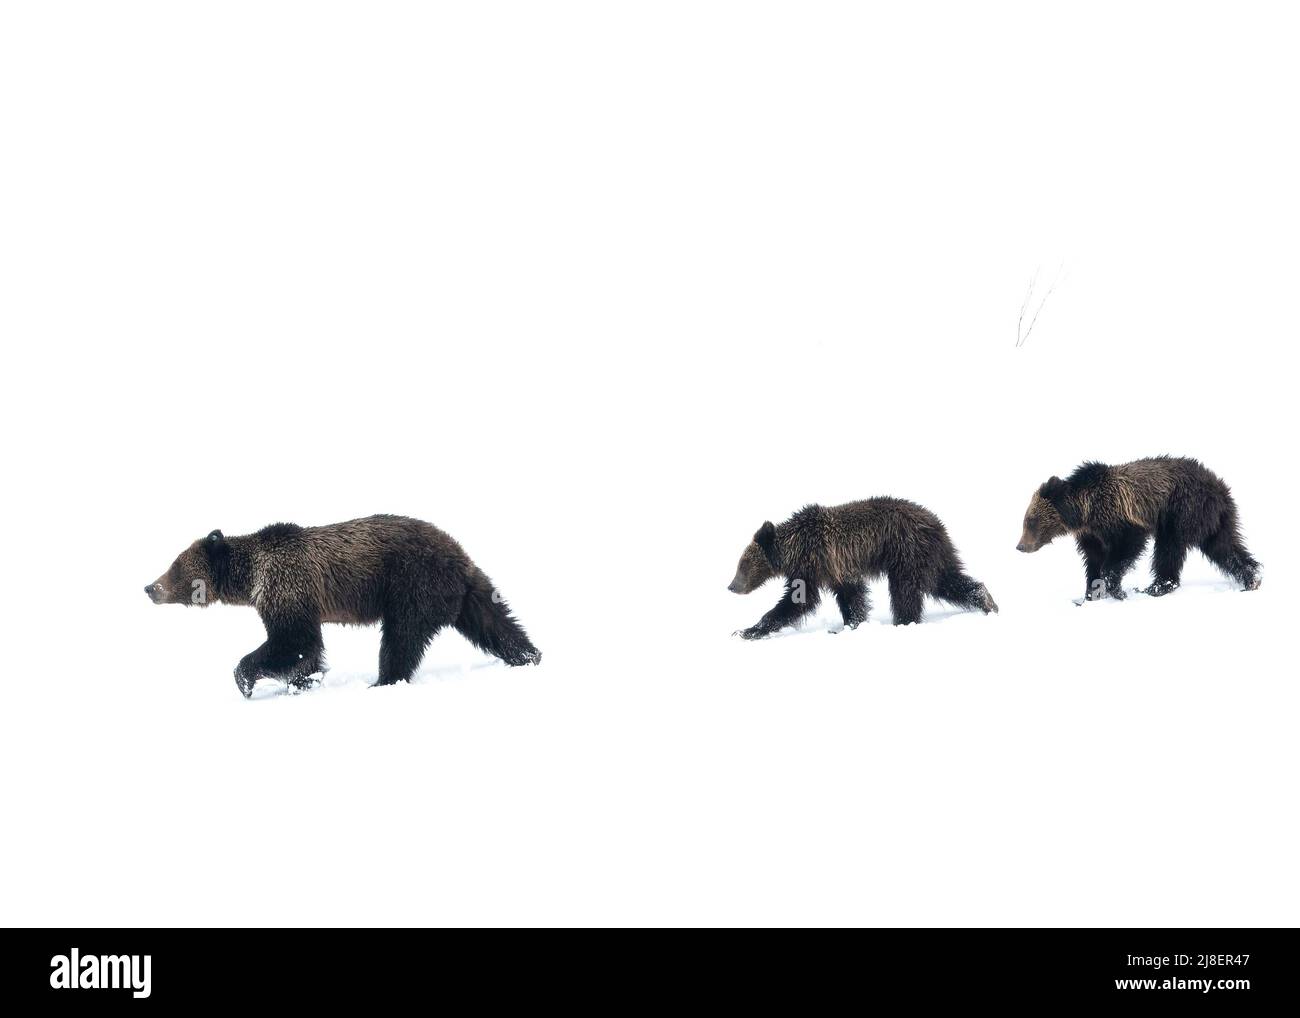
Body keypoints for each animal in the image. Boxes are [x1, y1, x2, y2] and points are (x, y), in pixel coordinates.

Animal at [144, 514, 540, 696]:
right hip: (465, 595)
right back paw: (529, 655)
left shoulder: (288, 587)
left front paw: (246, 679)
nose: (150, 587)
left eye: (176, 567)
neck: (252, 576)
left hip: (410, 584)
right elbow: (305, 651)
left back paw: (383, 681)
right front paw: (304, 680)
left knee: (401, 638)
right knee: (496, 623)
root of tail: (460, 557)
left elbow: (294, 642)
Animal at [733, 499, 993, 642]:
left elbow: (798, 601)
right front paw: (851, 624)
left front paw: (747, 630)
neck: (795, 548)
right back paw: (986, 600)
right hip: (932, 556)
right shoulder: (835, 569)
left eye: (742, 564)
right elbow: (851, 597)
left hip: (906, 552)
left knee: (905, 592)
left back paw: (904, 622)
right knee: (946, 581)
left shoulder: (815, 564)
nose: (732, 585)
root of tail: (937, 524)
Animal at [1013, 457, 1258, 600]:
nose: (1020, 546)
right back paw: (1252, 578)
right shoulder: (1092, 535)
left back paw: (1157, 587)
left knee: (1169, 549)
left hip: (1181, 510)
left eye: (1031, 520)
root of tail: (1218, 486)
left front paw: (1115, 588)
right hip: (1215, 520)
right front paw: (1091, 593)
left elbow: (1125, 549)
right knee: (1224, 547)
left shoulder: (1121, 519)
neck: (1085, 511)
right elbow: (1093, 561)